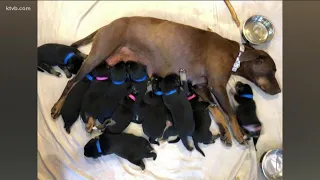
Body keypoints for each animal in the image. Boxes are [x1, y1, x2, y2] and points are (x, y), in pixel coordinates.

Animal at [50, 16, 280, 146]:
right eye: (272, 70)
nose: (279, 91)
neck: (236, 55)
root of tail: (106, 26)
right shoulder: (217, 86)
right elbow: (229, 112)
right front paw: (239, 133)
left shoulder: (201, 86)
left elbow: (216, 110)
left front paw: (225, 133)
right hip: (97, 56)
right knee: (71, 83)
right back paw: (57, 107)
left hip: (107, 64)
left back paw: (90, 120)